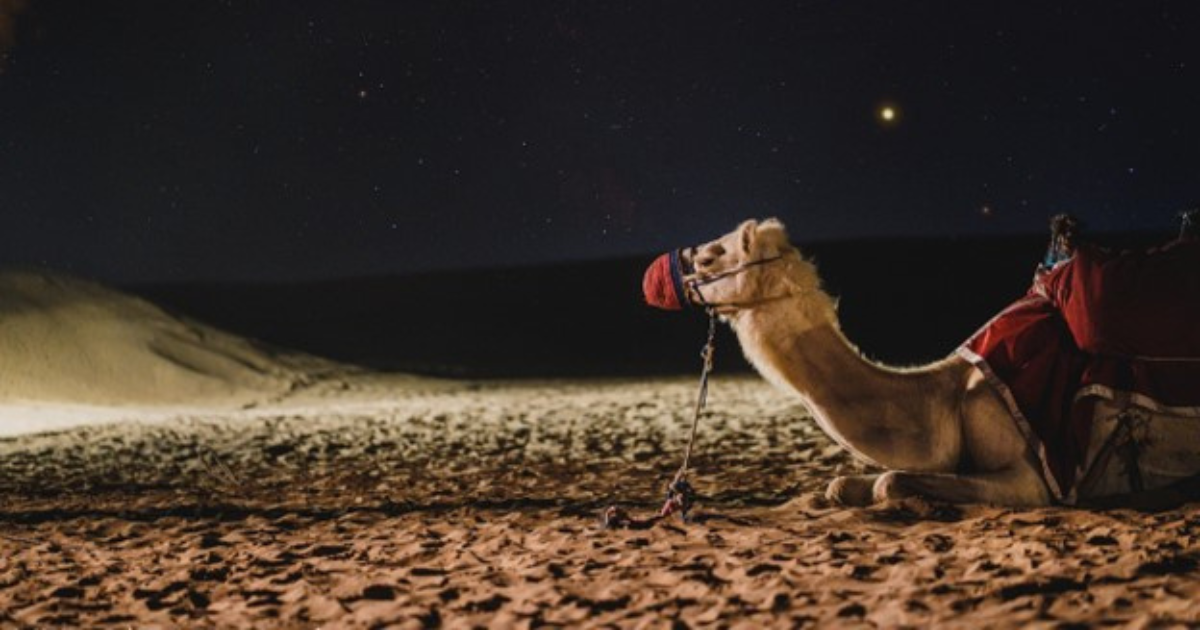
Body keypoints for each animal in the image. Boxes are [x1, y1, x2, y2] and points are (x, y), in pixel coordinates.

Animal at [656, 218, 1200, 507]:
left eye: (713, 255)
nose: (673, 267)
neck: (945, 399)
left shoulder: (1036, 474)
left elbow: (889, 479)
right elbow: (840, 484)